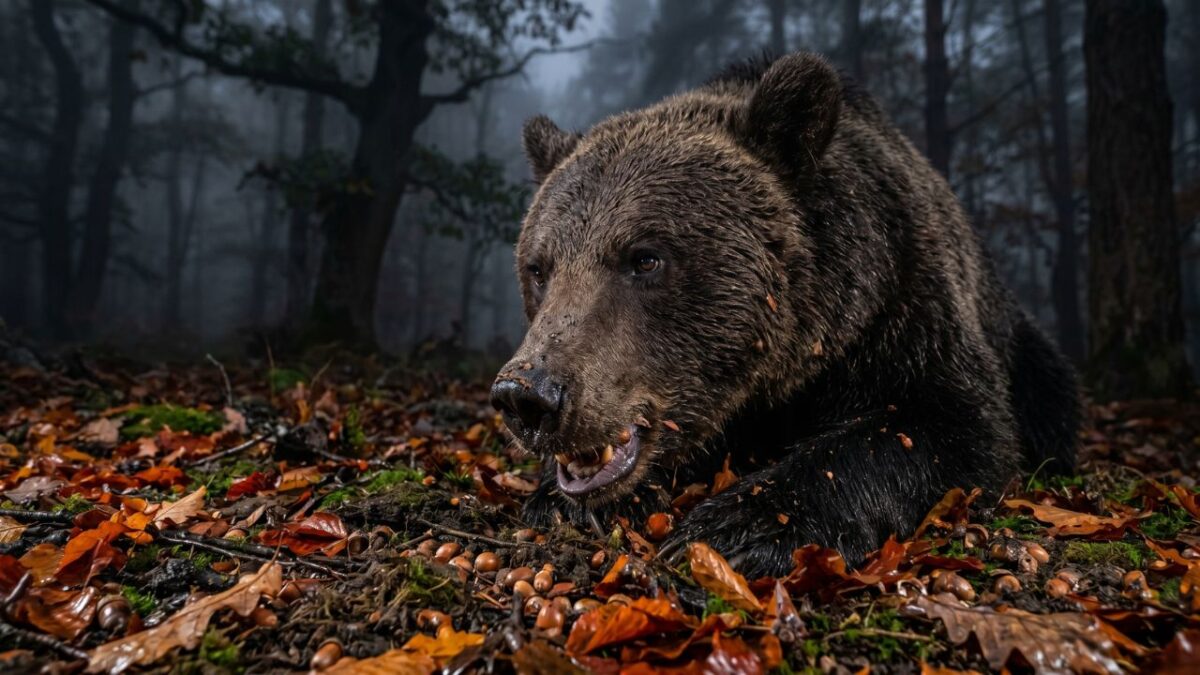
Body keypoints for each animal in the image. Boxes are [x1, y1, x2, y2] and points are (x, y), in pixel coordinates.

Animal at [490, 52, 1080, 577]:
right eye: (539, 268)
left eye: (645, 258)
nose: (528, 396)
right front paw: (555, 498)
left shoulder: (903, 311)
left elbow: (948, 424)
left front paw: (742, 526)